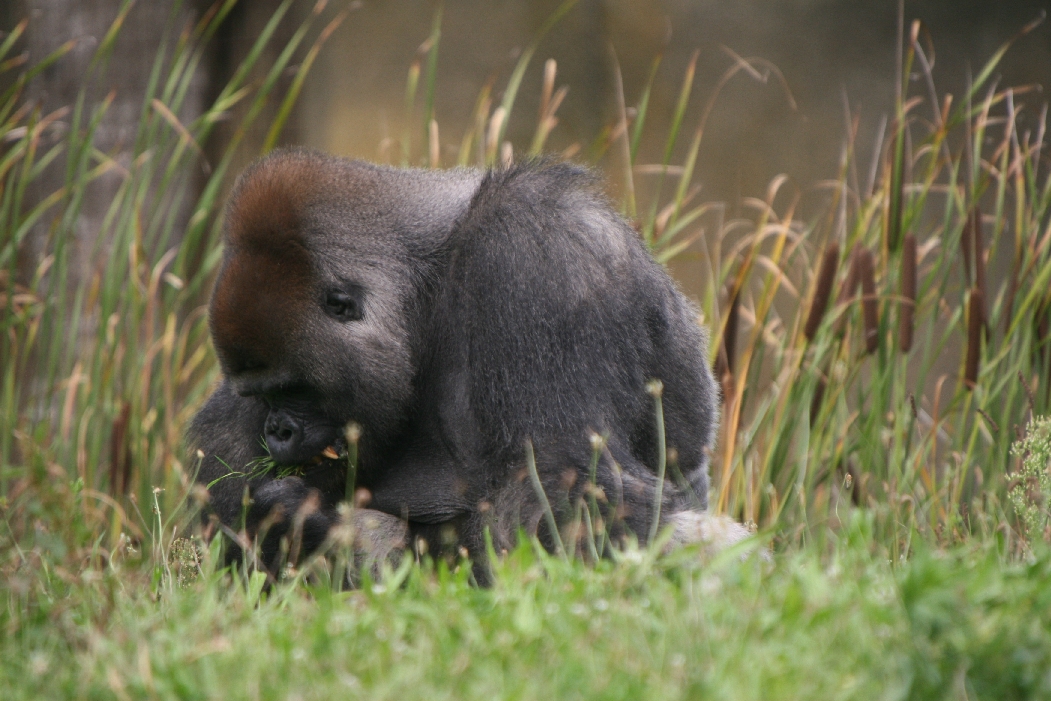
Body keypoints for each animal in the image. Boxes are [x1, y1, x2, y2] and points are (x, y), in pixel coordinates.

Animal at [188, 149, 740, 579]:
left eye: (294, 390)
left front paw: (317, 528)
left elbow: (564, 494)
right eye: (262, 396)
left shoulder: (536, 247)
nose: (277, 431)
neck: (421, 290)